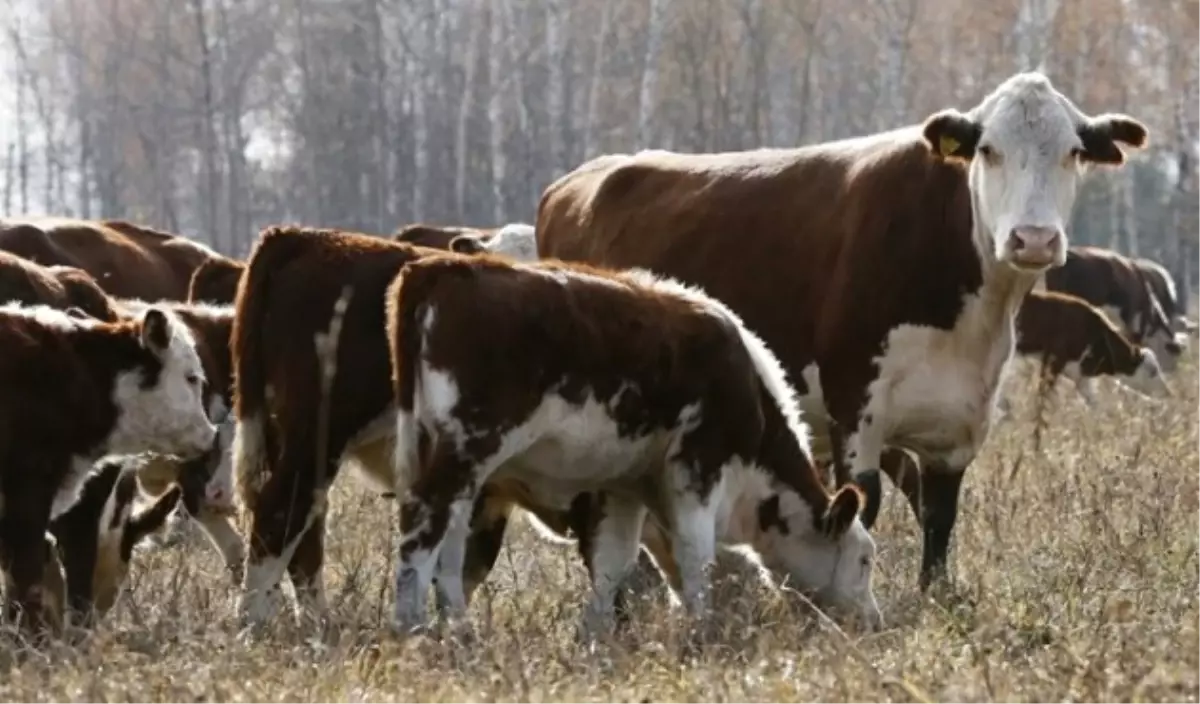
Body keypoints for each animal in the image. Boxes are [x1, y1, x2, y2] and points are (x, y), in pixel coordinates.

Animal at [384, 253, 883, 638]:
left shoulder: (624, 486)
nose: (873, 622)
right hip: (465, 450)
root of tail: (441, 267)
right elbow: (696, 557)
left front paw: (595, 636)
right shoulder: (697, 468)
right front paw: (701, 630)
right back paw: (410, 626)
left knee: (449, 543)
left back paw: (459, 629)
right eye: (863, 560)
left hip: (458, 465)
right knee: (423, 528)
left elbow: (614, 563)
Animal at [537, 71, 1152, 592]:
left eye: (1074, 152)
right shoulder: (855, 401)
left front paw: (937, 595)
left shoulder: (960, 415)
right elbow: (866, 501)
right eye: (988, 151)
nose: (1034, 239)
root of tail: (576, 181)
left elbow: (940, 511)